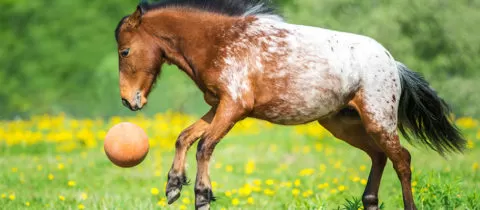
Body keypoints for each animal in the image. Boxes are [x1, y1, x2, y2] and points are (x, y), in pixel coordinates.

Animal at [113, 0, 464, 209]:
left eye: (125, 51)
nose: (129, 101)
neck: (219, 42)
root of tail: (393, 63)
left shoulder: (234, 108)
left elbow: (204, 146)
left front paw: (202, 195)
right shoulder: (219, 106)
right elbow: (184, 137)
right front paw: (173, 186)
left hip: (378, 120)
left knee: (402, 159)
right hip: (342, 123)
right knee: (379, 156)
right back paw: (370, 200)